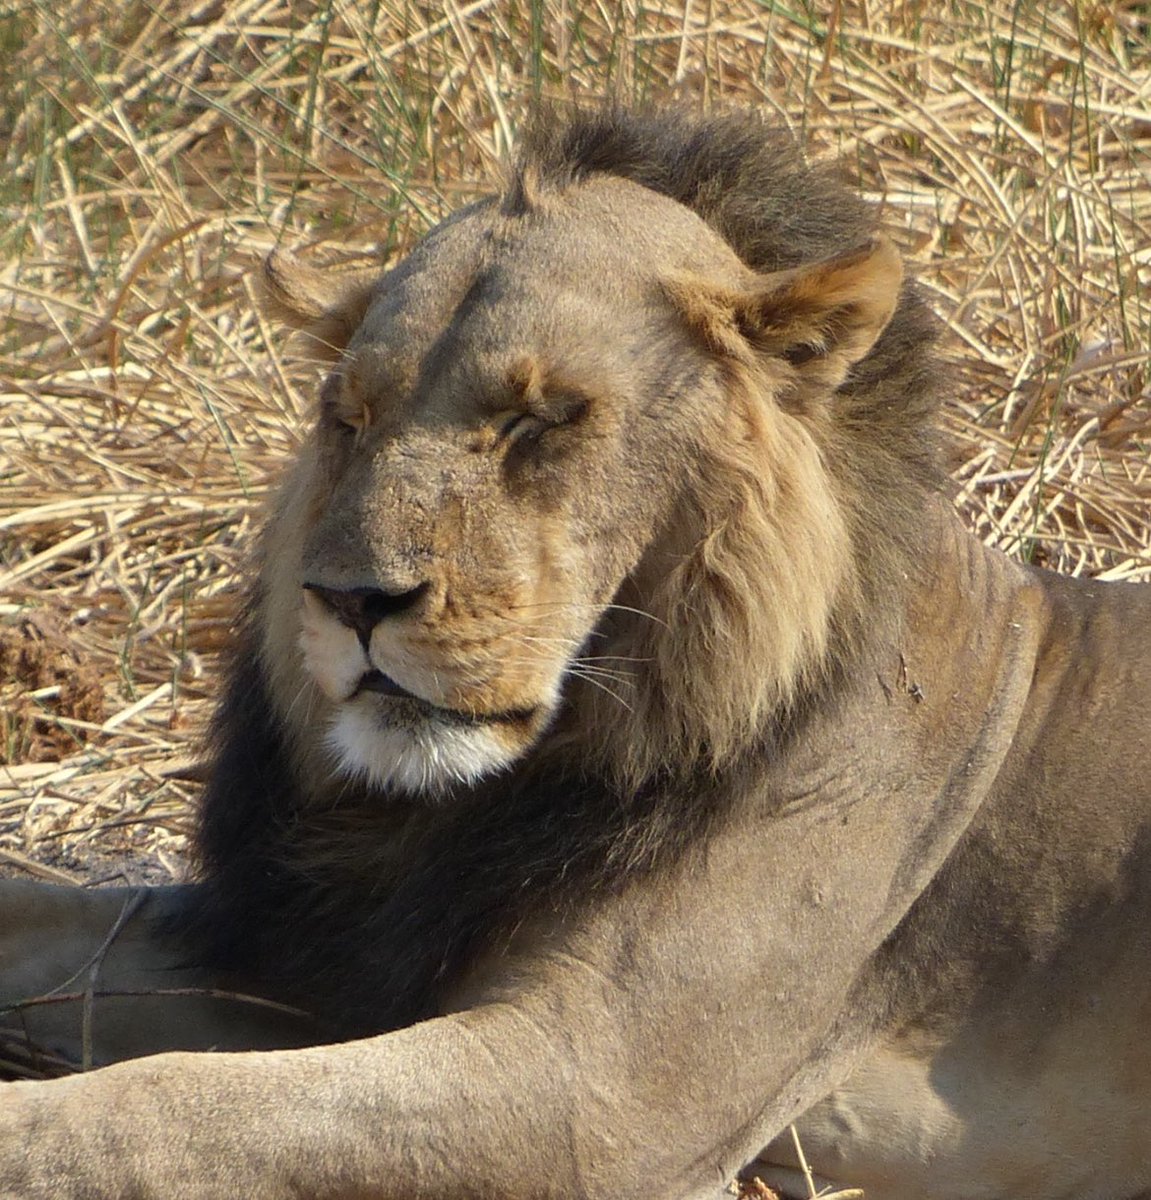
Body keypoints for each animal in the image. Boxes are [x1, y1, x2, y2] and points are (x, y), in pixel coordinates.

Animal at [2, 107, 1150, 1200]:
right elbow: (46, 918)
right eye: (349, 416)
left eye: (540, 419)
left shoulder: (592, 1095)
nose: (351, 599)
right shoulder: (306, 953)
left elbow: (173, 1106)